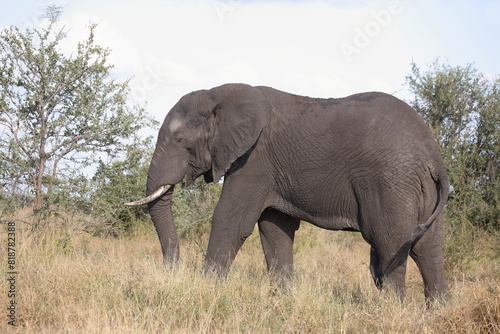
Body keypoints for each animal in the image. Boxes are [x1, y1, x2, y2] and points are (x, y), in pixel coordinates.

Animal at [125, 83, 450, 302]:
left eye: (181, 140)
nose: (171, 271)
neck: (221, 94)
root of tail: (432, 154)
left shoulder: (254, 160)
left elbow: (231, 221)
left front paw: (206, 291)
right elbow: (275, 229)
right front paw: (282, 300)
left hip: (389, 181)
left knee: (389, 242)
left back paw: (391, 311)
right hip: (419, 187)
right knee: (428, 248)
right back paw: (437, 310)